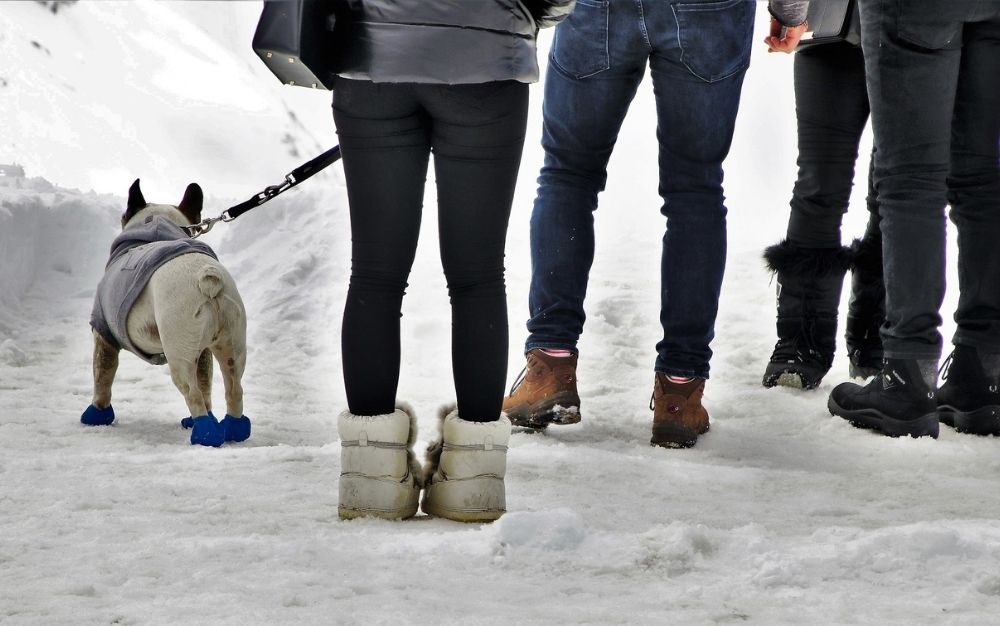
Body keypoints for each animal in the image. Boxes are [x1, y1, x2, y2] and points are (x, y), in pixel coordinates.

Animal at [83, 178, 252, 446]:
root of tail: (207, 278)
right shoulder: (203, 352)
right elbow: (206, 383)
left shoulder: (103, 333)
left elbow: (103, 376)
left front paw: (96, 415)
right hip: (230, 341)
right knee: (232, 386)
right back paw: (233, 430)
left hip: (179, 349)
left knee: (193, 393)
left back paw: (205, 434)